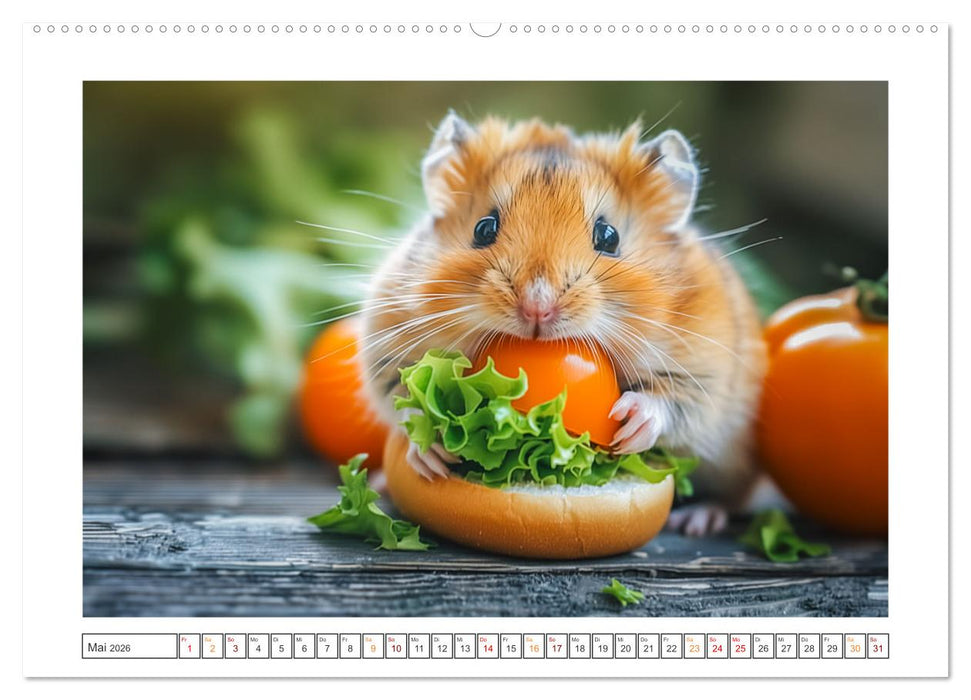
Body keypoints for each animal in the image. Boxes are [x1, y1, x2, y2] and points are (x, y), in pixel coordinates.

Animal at [359, 112, 768, 535]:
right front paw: (431, 453)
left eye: (609, 236)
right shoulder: (387, 344)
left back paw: (696, 521)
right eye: (483, 228)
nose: (537, 308)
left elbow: (671, 399)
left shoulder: (705, 370)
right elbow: (402, 397)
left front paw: (630, 420)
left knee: (735, 495)